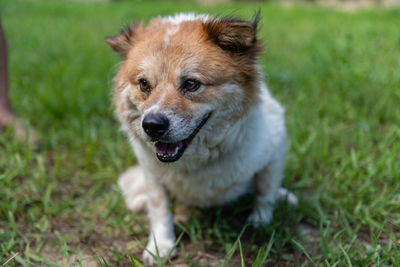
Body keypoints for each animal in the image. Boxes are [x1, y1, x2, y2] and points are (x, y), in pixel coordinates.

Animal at [105, 12, 296, 266]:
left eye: (191, 84)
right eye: (144, 84)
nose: (152, 126)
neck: (198, 159)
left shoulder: (274, 146)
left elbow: (265, 191)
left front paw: (260, 221)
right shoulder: (152, 172)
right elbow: (159, 209)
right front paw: (160, 245)